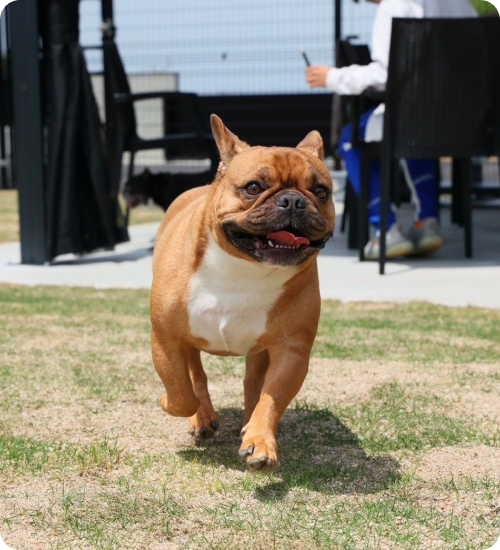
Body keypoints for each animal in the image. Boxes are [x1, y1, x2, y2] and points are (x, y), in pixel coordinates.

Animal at [150, 114, 334, 472]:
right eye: (253, 188)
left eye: (321, 191)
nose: (293, 200)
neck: (245, 269)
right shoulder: (166, 339)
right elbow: (181, 391)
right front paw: (176, 405)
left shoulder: (291, 351)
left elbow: (271, 396)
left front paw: (260, 440)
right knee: (196, 376)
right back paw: (203, 417)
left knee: (253, 385)